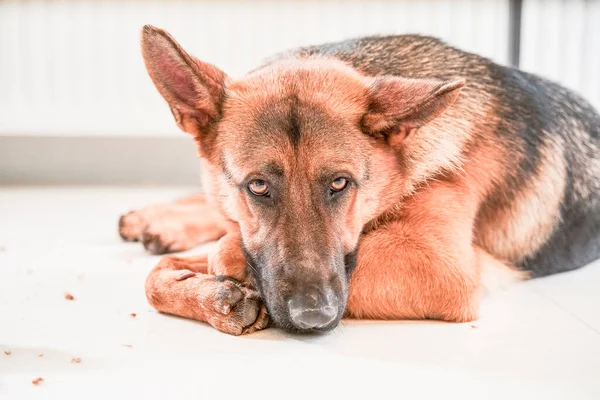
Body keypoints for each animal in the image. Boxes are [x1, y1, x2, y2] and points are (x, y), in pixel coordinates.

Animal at [118, 25, 600, 334]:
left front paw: (223, 272)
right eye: (257, 186)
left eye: (339, 184)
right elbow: (155, 276)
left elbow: (216, 254)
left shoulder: (440, 265)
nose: (312, 317)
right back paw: (156, 219)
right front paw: (210, 292)